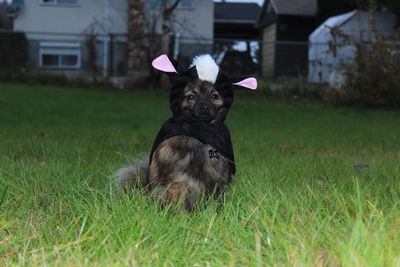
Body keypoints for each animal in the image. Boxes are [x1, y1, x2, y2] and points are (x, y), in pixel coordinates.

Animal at [117, 54, 258, 213]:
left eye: (214, 96)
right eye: (191, 97)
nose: (204, 107)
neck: (200, 129)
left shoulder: (218, 175)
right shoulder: (181, 179)